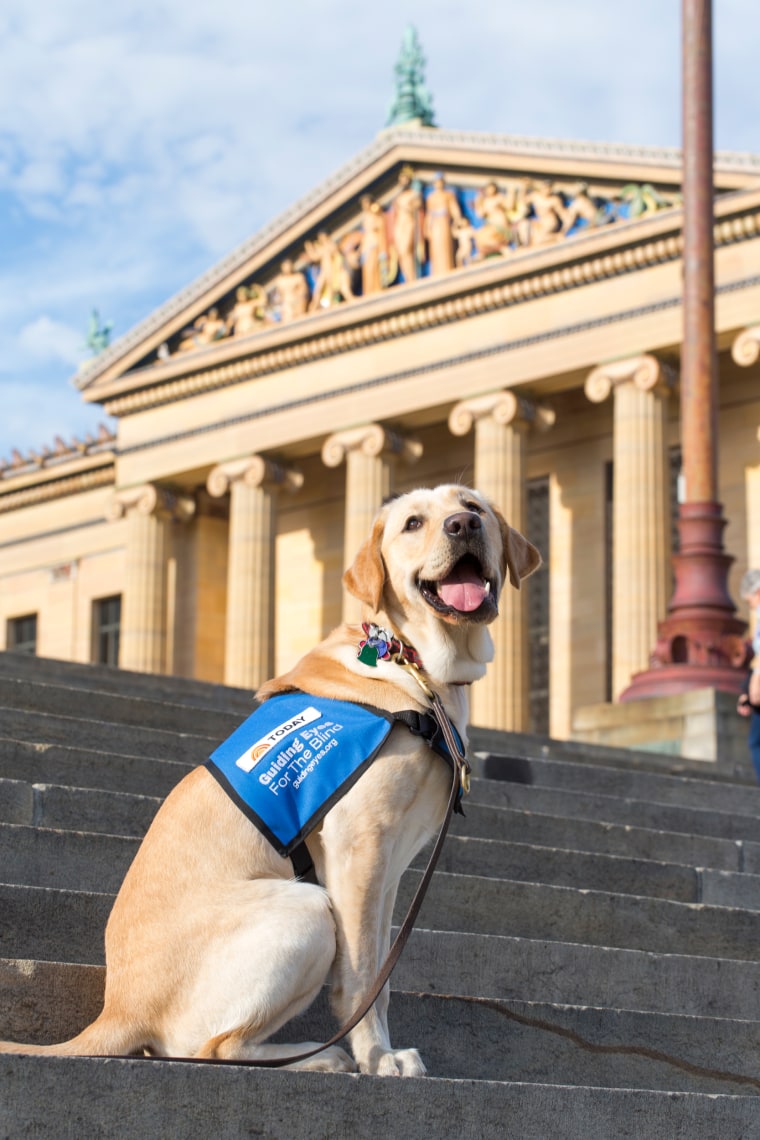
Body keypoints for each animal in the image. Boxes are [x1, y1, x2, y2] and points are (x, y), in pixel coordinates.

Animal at [0, 485, 540, 1071]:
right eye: (413, 522)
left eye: (474, 506)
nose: (463, 525)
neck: (413, 663)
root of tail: (118, 1010)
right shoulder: (359, 846)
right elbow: (360, 979)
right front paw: (378, 1058)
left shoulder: (389, 868)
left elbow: (382, 975)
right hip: (307, 908)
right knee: (213, 1048)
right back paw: (317, 1057)